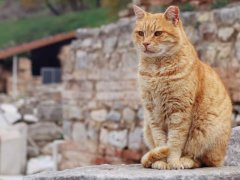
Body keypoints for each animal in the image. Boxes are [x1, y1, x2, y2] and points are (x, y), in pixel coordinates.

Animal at [133, 4, 232, 169]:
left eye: (158, 33)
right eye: (141, 33)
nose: (145, 43)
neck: (156, 71)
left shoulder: (179, 111)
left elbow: (175, 141)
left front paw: (173, 162)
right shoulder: (152, 112)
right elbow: (160, 140)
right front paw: (160, 161)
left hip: (206, 130)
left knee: (201, 160)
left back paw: (186, 160)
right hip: (146, 127)